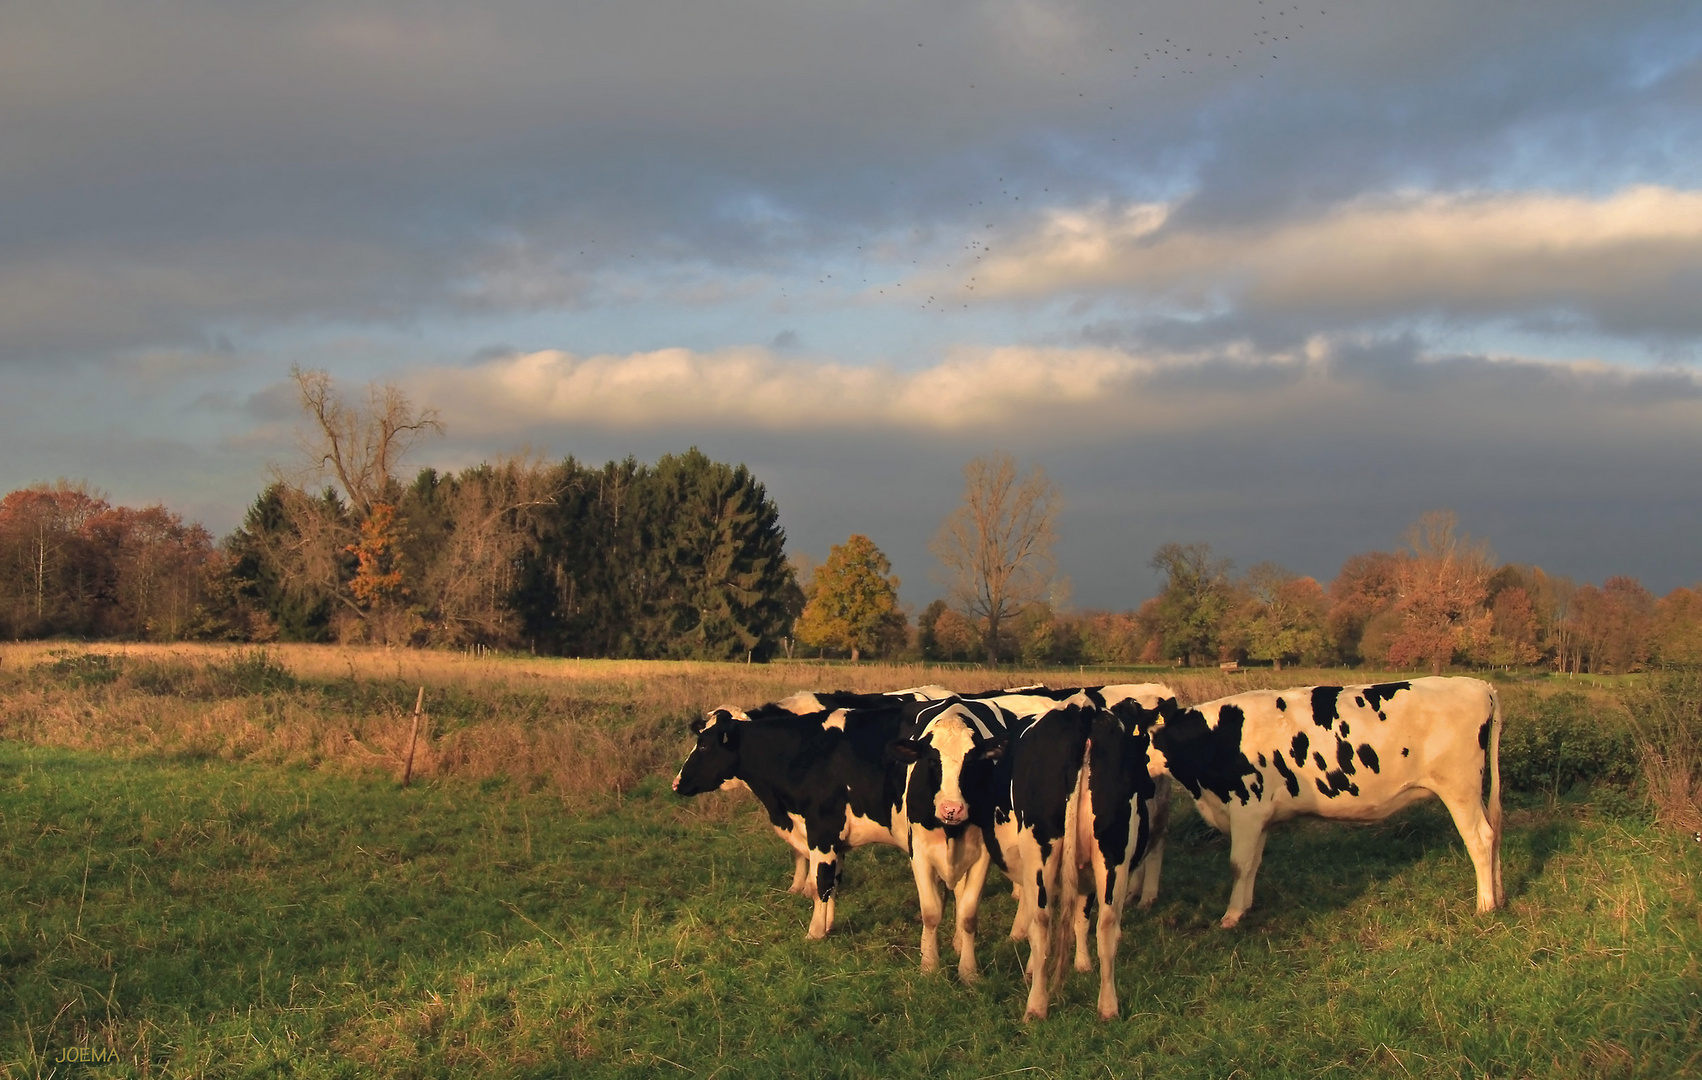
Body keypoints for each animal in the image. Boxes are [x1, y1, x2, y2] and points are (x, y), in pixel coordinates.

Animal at [1143, 680, 1504, 932]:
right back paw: (1499, 897)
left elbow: (1238, 864)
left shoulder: (1247, 808)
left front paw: (1231, 916)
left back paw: (1484, 905)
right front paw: (1245, 908)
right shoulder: (1260, 817)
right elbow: (1253, 864)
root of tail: (1479, 685)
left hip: (1459, 789)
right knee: (1495, 833)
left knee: (1480, 839)